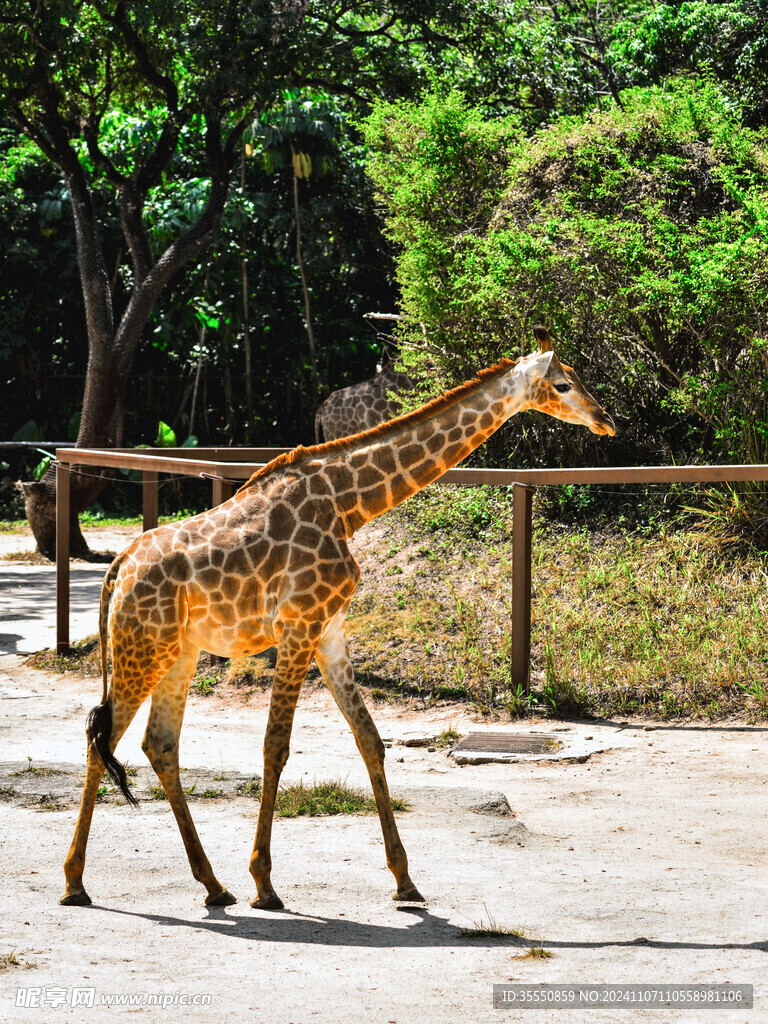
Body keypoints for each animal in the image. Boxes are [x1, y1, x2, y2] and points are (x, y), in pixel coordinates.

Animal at [63, 323, 618, 909]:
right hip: (141, 649)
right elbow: (276, 746)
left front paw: (404, 879)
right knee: (101, 740)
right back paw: (75, 882)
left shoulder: (330, 631)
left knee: (158, 744)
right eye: (562, 383)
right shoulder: (298, 626)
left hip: (178, 651)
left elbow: (370, 739)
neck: (349, 504)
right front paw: (265, 882)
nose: (606, 419)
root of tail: (117, 568)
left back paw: (213, 886)